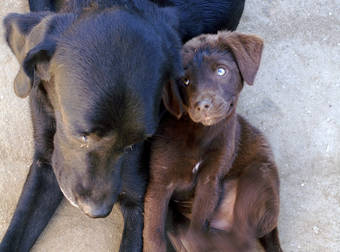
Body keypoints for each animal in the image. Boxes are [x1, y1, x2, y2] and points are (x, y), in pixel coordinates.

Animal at [0, 0, 244, 252]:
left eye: (135, 144)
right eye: (82, 136)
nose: (97, 212)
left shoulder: (138, 200)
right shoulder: (46, 161)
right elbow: (16, 232)